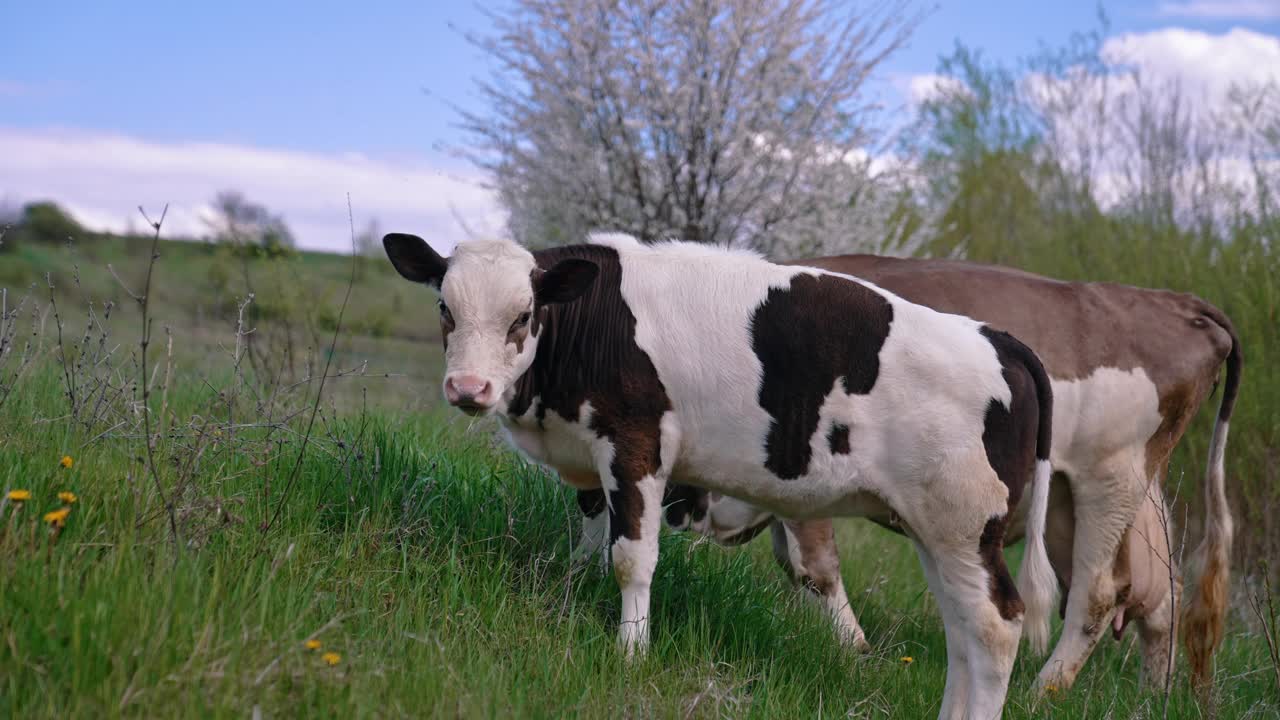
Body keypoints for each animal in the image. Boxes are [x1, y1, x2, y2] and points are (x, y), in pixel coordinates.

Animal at [386, 233, 1059, 712]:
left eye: (523, 315)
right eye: (445, 308)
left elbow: (631, 558)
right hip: (939, 533)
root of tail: (998, 339)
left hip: (965, 528)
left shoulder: (637, 446)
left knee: (995, 626)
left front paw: (631, 654)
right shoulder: (591, 464)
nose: (468, 388)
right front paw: (568, 596)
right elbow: (585, 548)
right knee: (961, 630)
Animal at [619, 252, 1239, 691]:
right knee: (1161, 595)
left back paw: (1043, 692)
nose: (678, 508)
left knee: (1098, 593)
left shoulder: (803, 477)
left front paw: (856, 652)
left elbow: (814, 566)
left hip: (1108, 478)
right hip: (1105, 496)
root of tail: (1176, 302)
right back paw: (1150, 699)